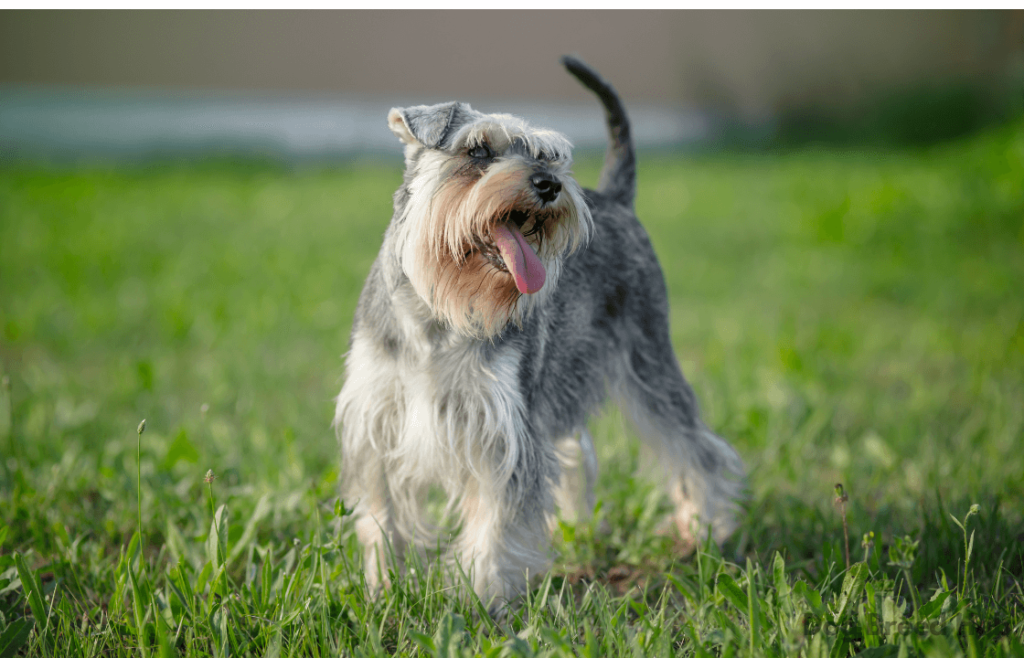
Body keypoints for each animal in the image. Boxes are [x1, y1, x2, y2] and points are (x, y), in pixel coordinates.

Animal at [335, 56, 745, 613]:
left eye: (547, 154)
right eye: (477, 150)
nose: (549, 184)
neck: (438, 313)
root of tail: (616, 198)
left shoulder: (504, 431)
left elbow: (495, 523)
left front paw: (479, 600)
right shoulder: (377, 425)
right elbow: (383, 520)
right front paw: (383, 588)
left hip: (649, 364)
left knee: (694, 447)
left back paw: (705, 529)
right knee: (577, 452)